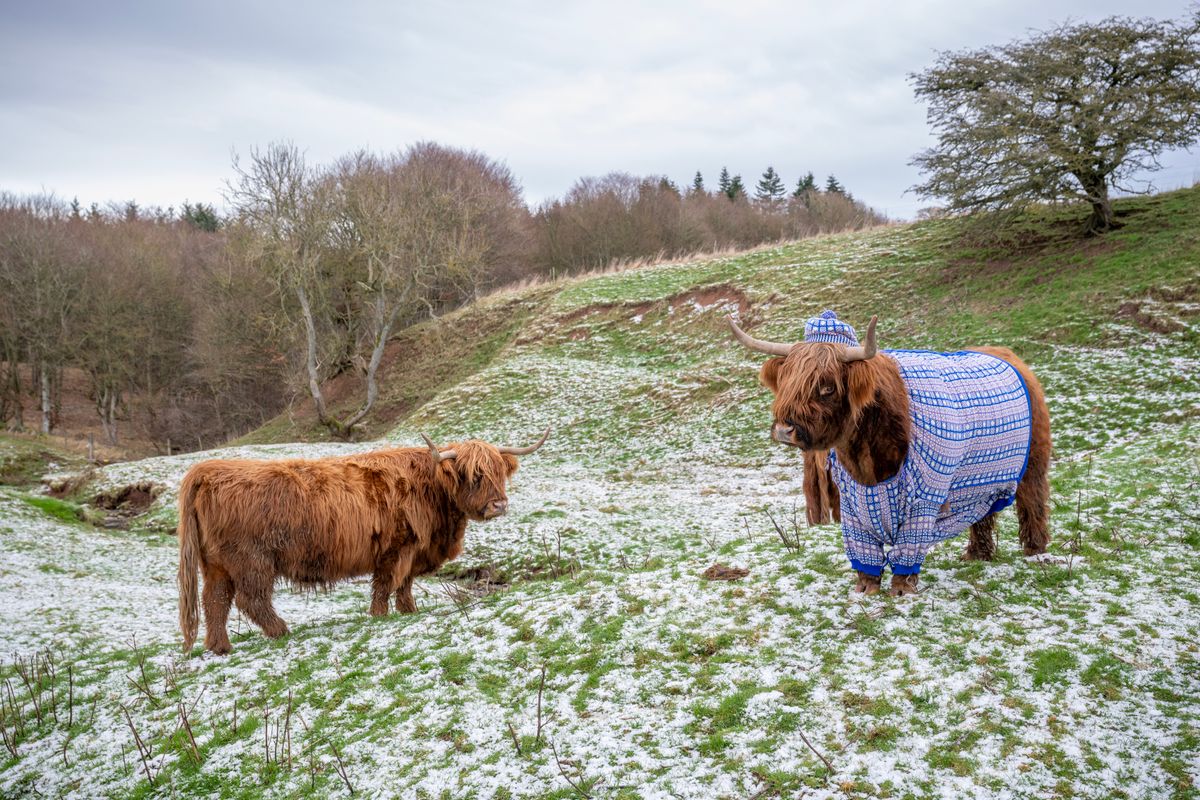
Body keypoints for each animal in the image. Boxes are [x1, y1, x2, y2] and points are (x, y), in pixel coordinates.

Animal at [176, 429, 549, 652]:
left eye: (499, 473)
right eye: (473, 475)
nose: (499, 505)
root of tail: (208, 471)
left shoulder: (413, 550)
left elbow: (405, 584)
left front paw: (409, 610)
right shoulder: (396, 547)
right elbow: (386, 584)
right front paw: (380, 615)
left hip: (217, 565)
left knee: (215, 601)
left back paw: (219, 646)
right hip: (252, 560)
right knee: (250, 599)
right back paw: (281, 631)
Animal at [720, 311, 1051, 594]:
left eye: (827, 387)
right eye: (787, 380)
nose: (784, 429)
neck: (867, 459)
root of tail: (1009, 356)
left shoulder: (923, 500)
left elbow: (908, 547)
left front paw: (902, 589)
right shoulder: (853, 503)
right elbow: (863, 549)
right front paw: (865, 588)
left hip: (1032, 462)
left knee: (1032, 500)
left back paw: (1034, 550)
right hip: (980, 482)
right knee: (983, 514)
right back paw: (977, 554)